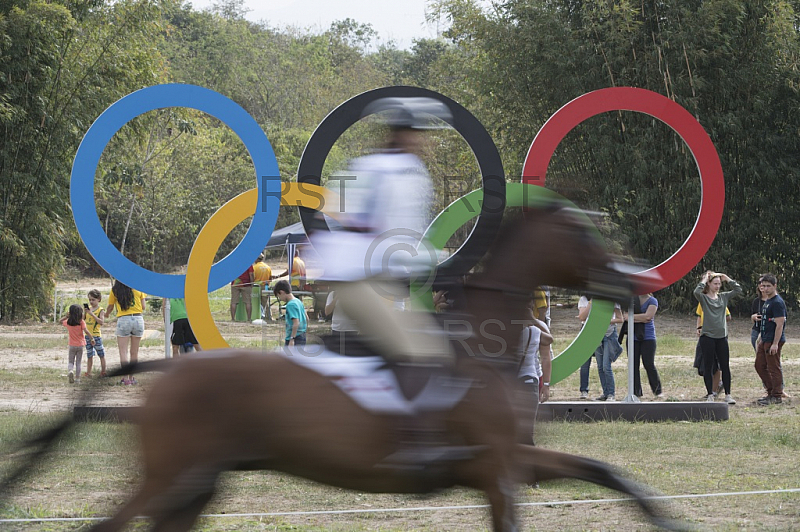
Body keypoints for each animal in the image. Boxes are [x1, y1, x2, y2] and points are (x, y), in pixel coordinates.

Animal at [0, 205, 680, 532]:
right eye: (583, 238)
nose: (633, 285)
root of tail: (172, 374)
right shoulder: (496, 470)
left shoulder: (514, 462)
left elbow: (604, 471)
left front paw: (663, 516)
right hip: (169, 477)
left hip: (195, 486)